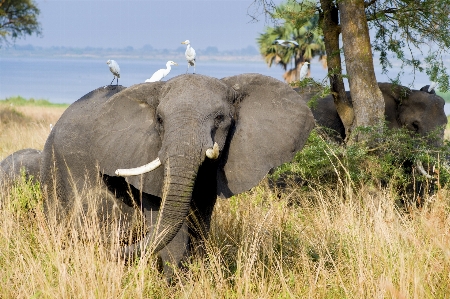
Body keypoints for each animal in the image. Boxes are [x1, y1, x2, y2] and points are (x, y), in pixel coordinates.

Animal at [37, 74, 312, 278]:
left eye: (220, 118)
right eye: (159, 119)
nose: (112, 251)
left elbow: (200, 227)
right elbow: (169, 229)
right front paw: (176, 285)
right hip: (54, 170)